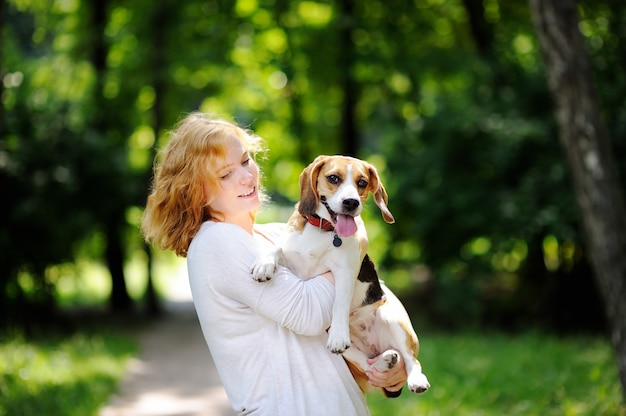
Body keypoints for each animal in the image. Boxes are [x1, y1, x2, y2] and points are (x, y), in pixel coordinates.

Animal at [249, 154, 428, 394]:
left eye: (362, 182)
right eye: (333, 178)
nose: (351, 202)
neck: (323, 229)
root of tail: (372, 346)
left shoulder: (345, 271)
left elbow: (340, 304)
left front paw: (339, 335)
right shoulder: (294, 262)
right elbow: (277, 248)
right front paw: (265, 263)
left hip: (391, 317)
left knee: (411, 360)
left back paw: (416, 379)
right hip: (347, 347)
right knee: (367, 364)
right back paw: (384, 362)